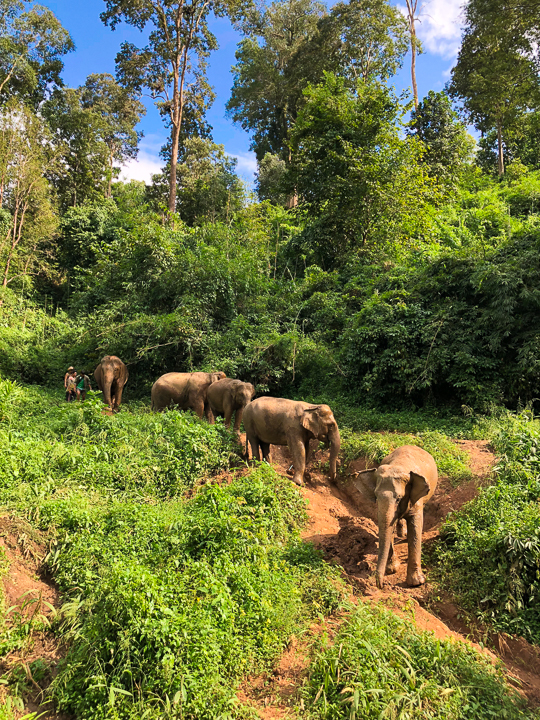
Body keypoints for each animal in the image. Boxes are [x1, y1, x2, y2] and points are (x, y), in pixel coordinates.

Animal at [354, 444, 438, 592]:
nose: (380, 585)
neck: (398, 465)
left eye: (399, 498)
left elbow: (415, 525)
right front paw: (391, 570)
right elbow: (387, 525)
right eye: (376, 497)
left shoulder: (416, 498)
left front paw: (416, 583)